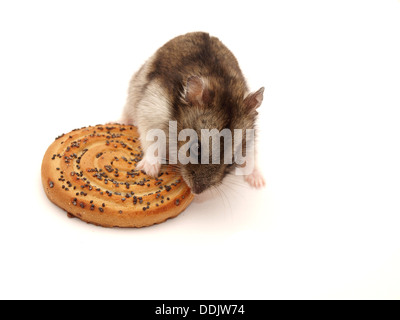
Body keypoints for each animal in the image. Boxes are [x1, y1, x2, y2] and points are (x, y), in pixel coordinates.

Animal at [122, 31, 266, 194]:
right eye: (195, 148)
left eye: (232, 161)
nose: (196, 191)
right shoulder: (152, 112)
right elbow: (151, 141)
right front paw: (150, 171)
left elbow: (251, 155)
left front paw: (259, 183)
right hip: (134, 90)